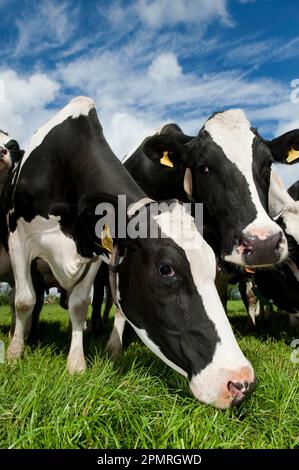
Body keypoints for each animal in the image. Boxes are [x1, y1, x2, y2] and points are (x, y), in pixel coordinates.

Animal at [1, 97, 255, 410]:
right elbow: (24, 300)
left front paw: (76, 363)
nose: (241, 381)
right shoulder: (17, 238)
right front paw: (15, 354)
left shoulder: (94, 254)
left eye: (213, 267)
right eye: (166, 269)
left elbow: (79, 305)